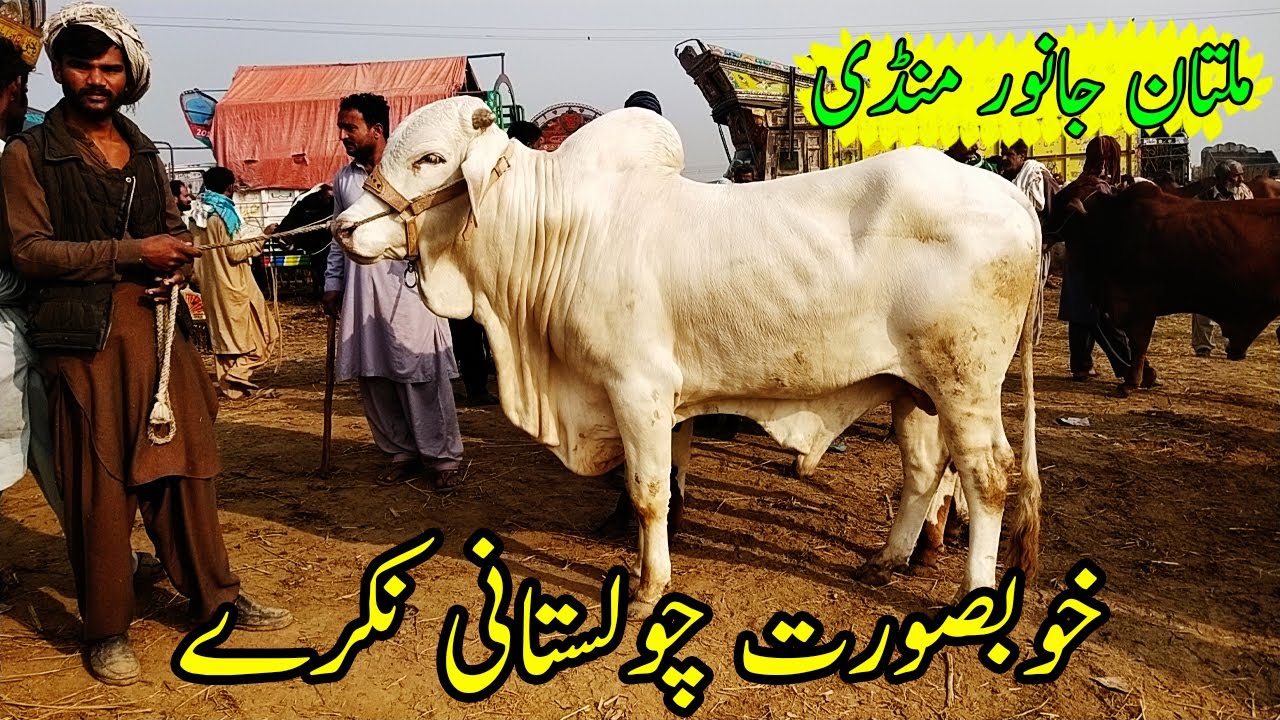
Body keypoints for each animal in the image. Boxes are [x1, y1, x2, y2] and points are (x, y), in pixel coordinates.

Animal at [332, 96, 1042, 617]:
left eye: (431, 157)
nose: (343, 229)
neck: (558, 231)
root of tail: (1012, 197)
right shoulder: (669, 403)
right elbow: (670, 482)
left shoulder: (636, 389)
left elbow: (648, 492)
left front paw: (649, 588)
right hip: (911, 389)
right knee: (923, 470)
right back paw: (889, 559)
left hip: (966, 385)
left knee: (987, 478)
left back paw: (975, 596)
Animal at [1047, 176, 1280, 395]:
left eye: (1062, 200)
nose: (1045, 220)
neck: (1112, 222)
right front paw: (1145, 376)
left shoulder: (1138, 304)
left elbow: (1137, 343)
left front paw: (1131, 382)